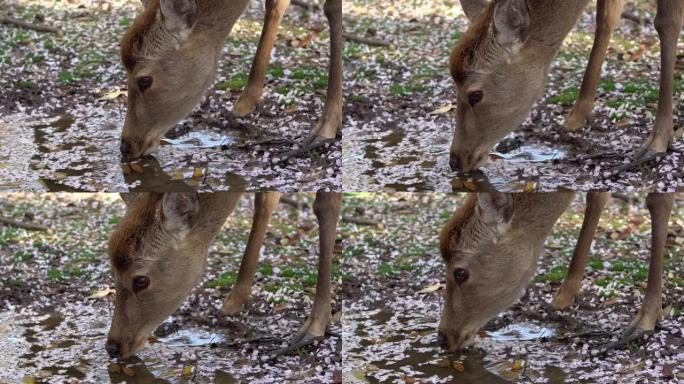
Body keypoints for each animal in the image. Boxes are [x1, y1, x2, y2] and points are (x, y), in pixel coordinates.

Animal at [102, 192, 342, 360]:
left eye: (141, 280)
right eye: (112, 270)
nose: (113, 347)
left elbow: (326, 204)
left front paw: (314, 326)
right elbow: (265, 199)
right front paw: (234, 300)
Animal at [119, 0, 342, 160]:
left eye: (145, 80)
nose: (125, 146)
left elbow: (332, 9)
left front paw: (326, 127)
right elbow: (274, 4)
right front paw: (245, 102)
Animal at [438, 192, 672, 354]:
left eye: (460, 273)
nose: (443, 337)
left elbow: (659, 199)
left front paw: (646, 319)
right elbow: (595, 195)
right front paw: (563, 296)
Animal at [452, 0, 680, 171]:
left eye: (475, 95)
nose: (455, 160)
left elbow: (667, 23)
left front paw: (657, 142)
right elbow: (605, 18)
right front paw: (577, 116)